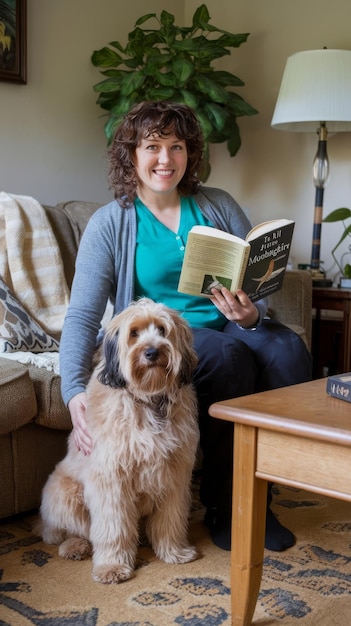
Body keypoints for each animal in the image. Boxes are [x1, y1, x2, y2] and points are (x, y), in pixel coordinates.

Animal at [38, 296, 201, 580]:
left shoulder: (174, 475)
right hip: (66, 495)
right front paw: (112, 566)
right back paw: (74, 547)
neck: (148, 400)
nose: (152, 352)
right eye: (134, 333)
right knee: (65, 533)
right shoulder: (111, 480)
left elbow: (170, 519)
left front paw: (174, 551)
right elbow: (113, 528)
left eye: (162, 330)